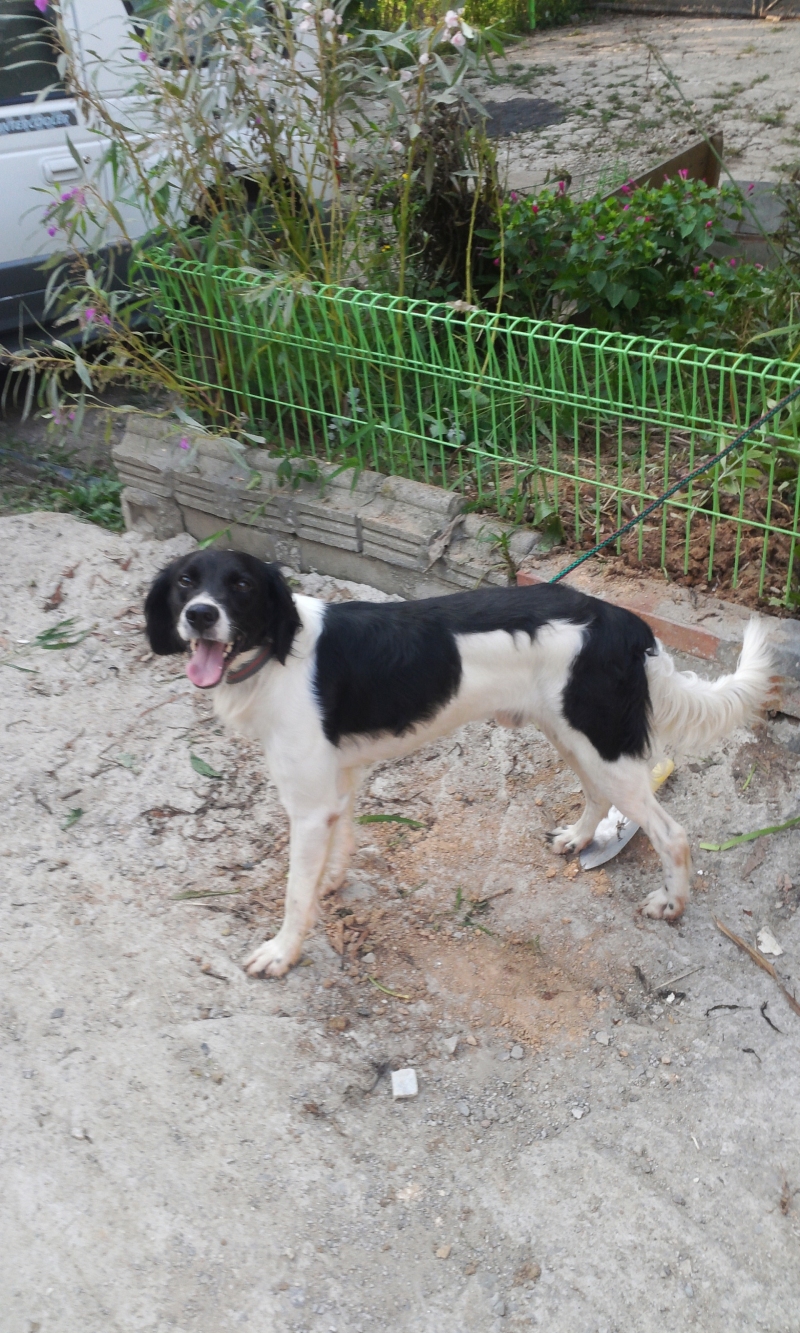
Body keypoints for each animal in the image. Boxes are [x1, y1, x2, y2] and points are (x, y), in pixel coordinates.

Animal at [145, 548, 773, 978]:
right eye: (185, 582)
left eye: (242, 585)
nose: (200, 615)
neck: (278, 652)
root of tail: (627, 623)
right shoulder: (337, 782)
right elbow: (342, 839)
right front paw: (333, 880)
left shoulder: (308, 803)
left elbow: (296, 893)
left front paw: (282, 951)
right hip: (574, 737)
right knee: (599, 795)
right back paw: (577, 838)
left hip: (603, 745)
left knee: (673, 835)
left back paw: (671, 902)